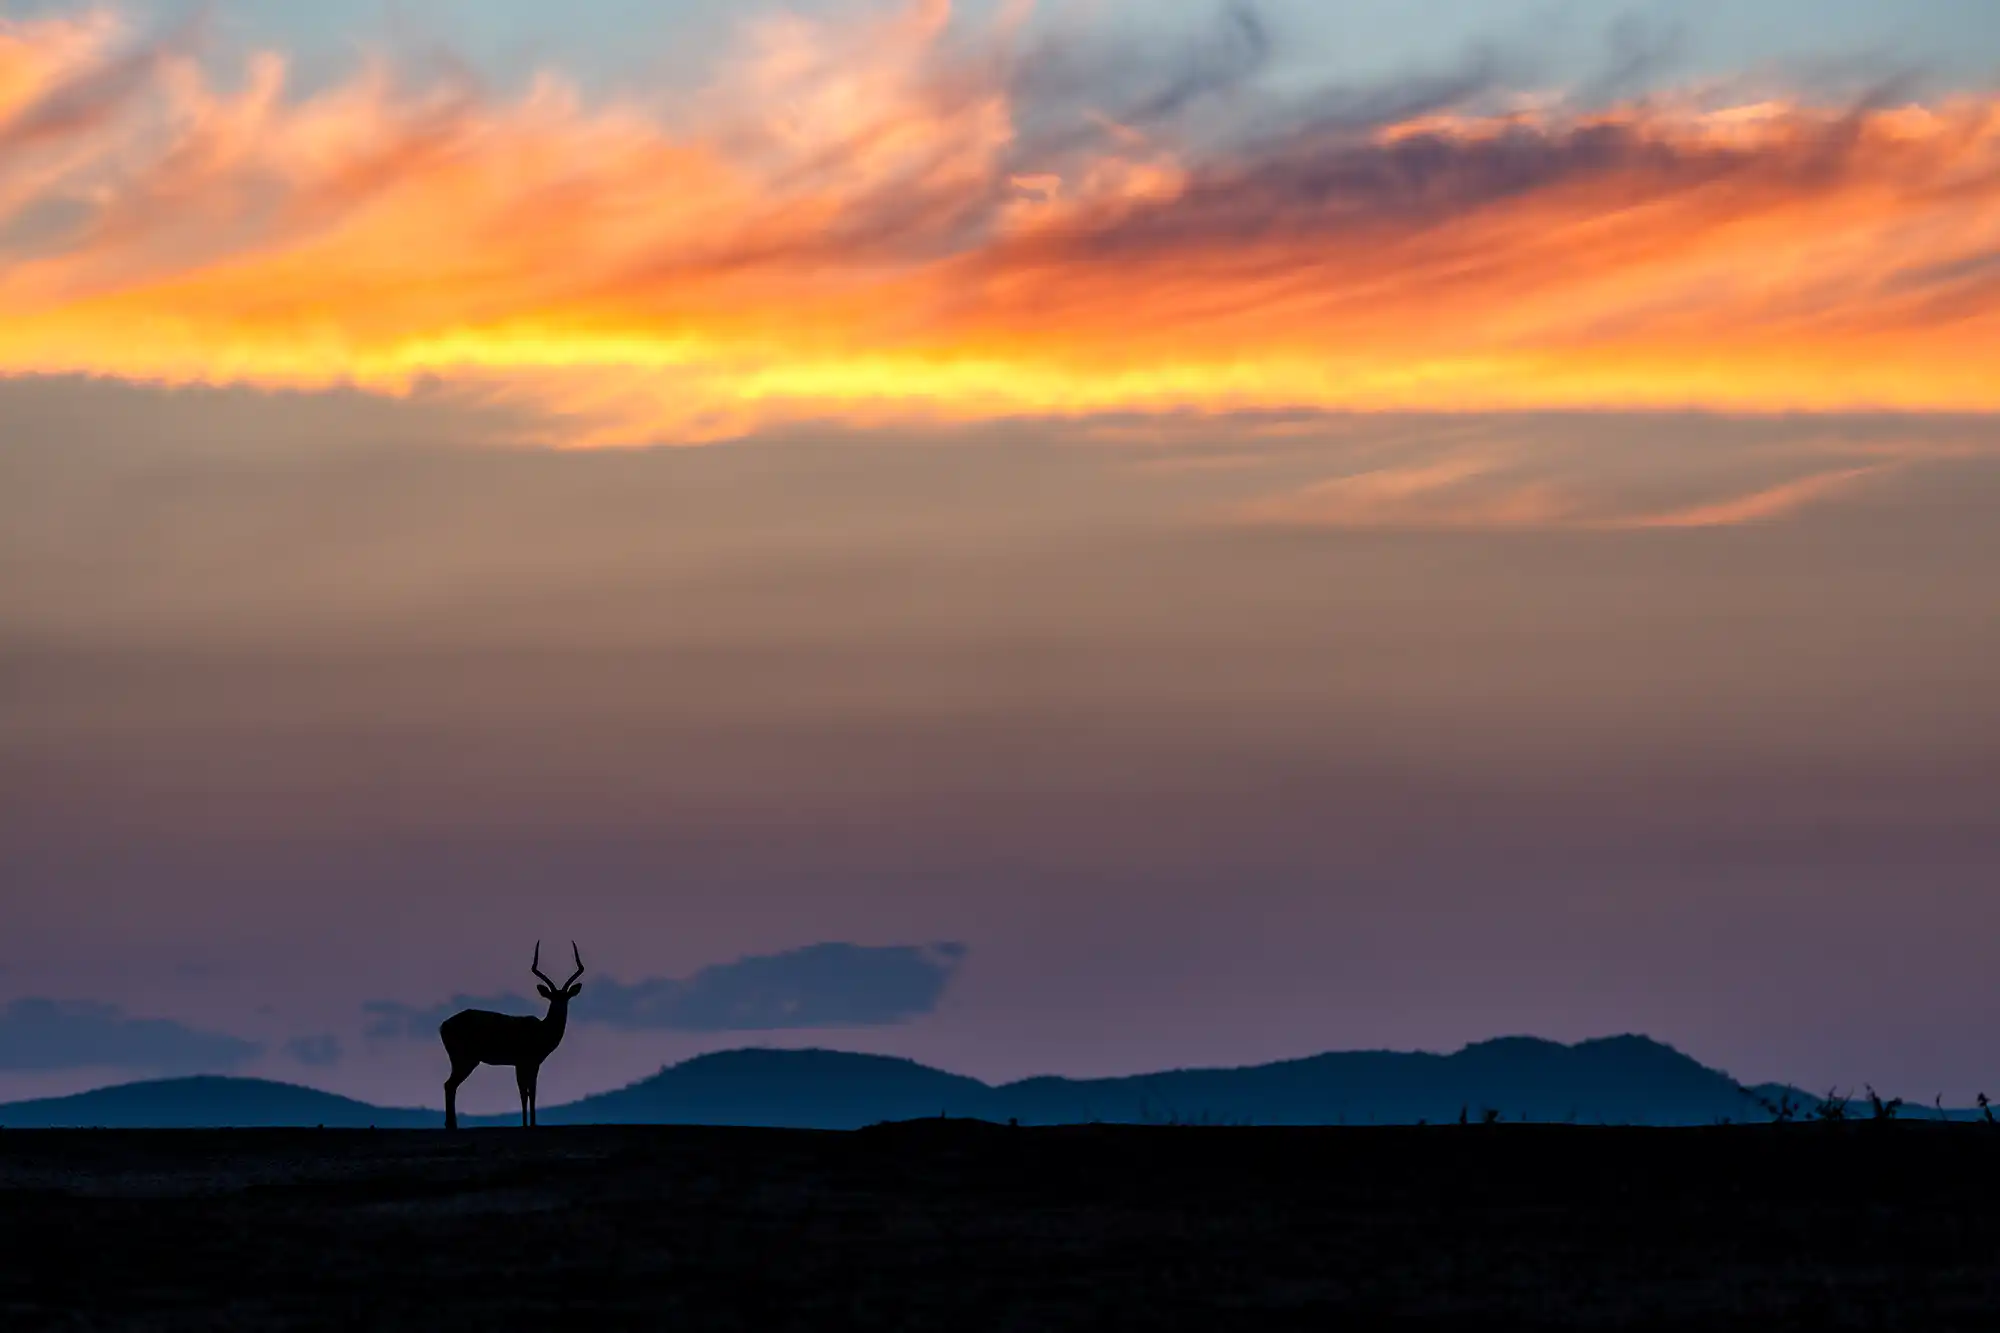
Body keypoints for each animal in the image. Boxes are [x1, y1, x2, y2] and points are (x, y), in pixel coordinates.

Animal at [440, 941, 584, 1130]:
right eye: (552, 998)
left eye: (566, 998)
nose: (560, 1010)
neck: (541, 1031)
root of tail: (443, 1025)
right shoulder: (525, 1062)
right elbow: (527, 1092)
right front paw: (528, 1124)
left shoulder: (527, 1064)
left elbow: (529, 1092)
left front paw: (530, 1123)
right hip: (465, 1059)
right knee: (449, 1085)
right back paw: (452, 1125)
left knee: (449, 1085)